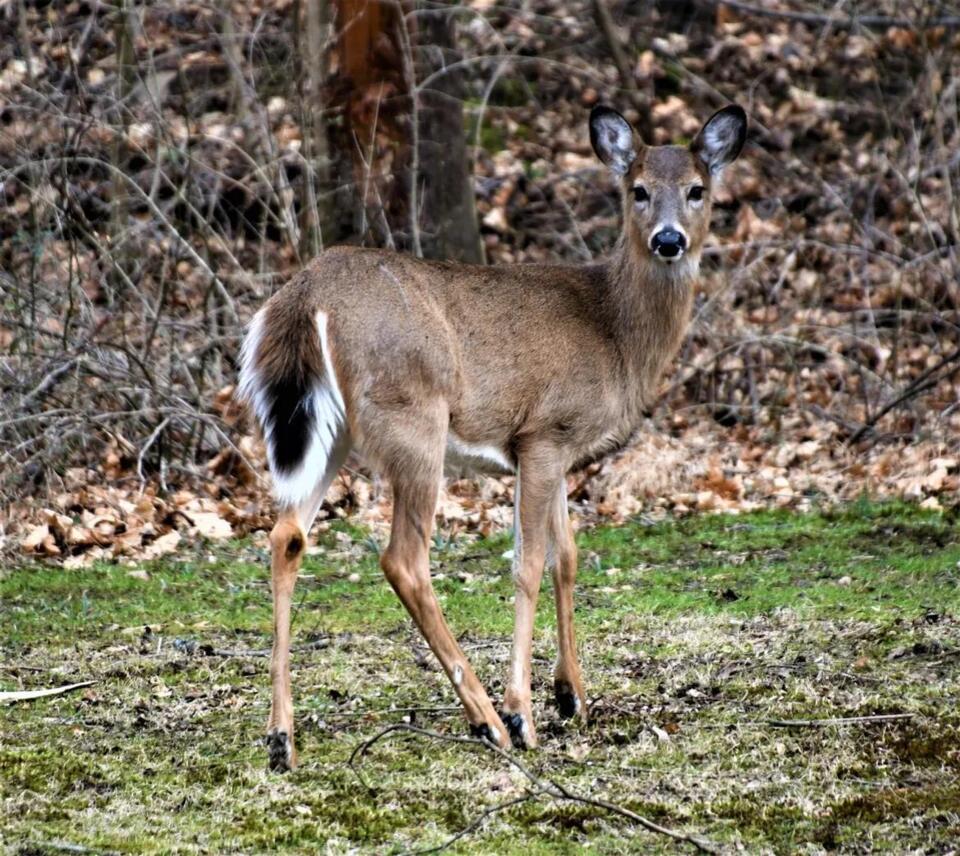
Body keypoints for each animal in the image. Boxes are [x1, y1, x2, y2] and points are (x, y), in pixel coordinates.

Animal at [238, 102, 747, 770]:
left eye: (696, 189)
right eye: (637, 190)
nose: (669, 239)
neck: (613, 331)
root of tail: (304, 297)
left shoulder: (552, 448)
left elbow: (567, 558)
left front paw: (573, 697)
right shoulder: (544, 432)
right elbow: (528, 564)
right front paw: (524, 710)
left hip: (331, 431)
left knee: (286, 536)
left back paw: (281, 739)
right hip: (413, 417)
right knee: (403, 559)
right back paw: (487, 722)